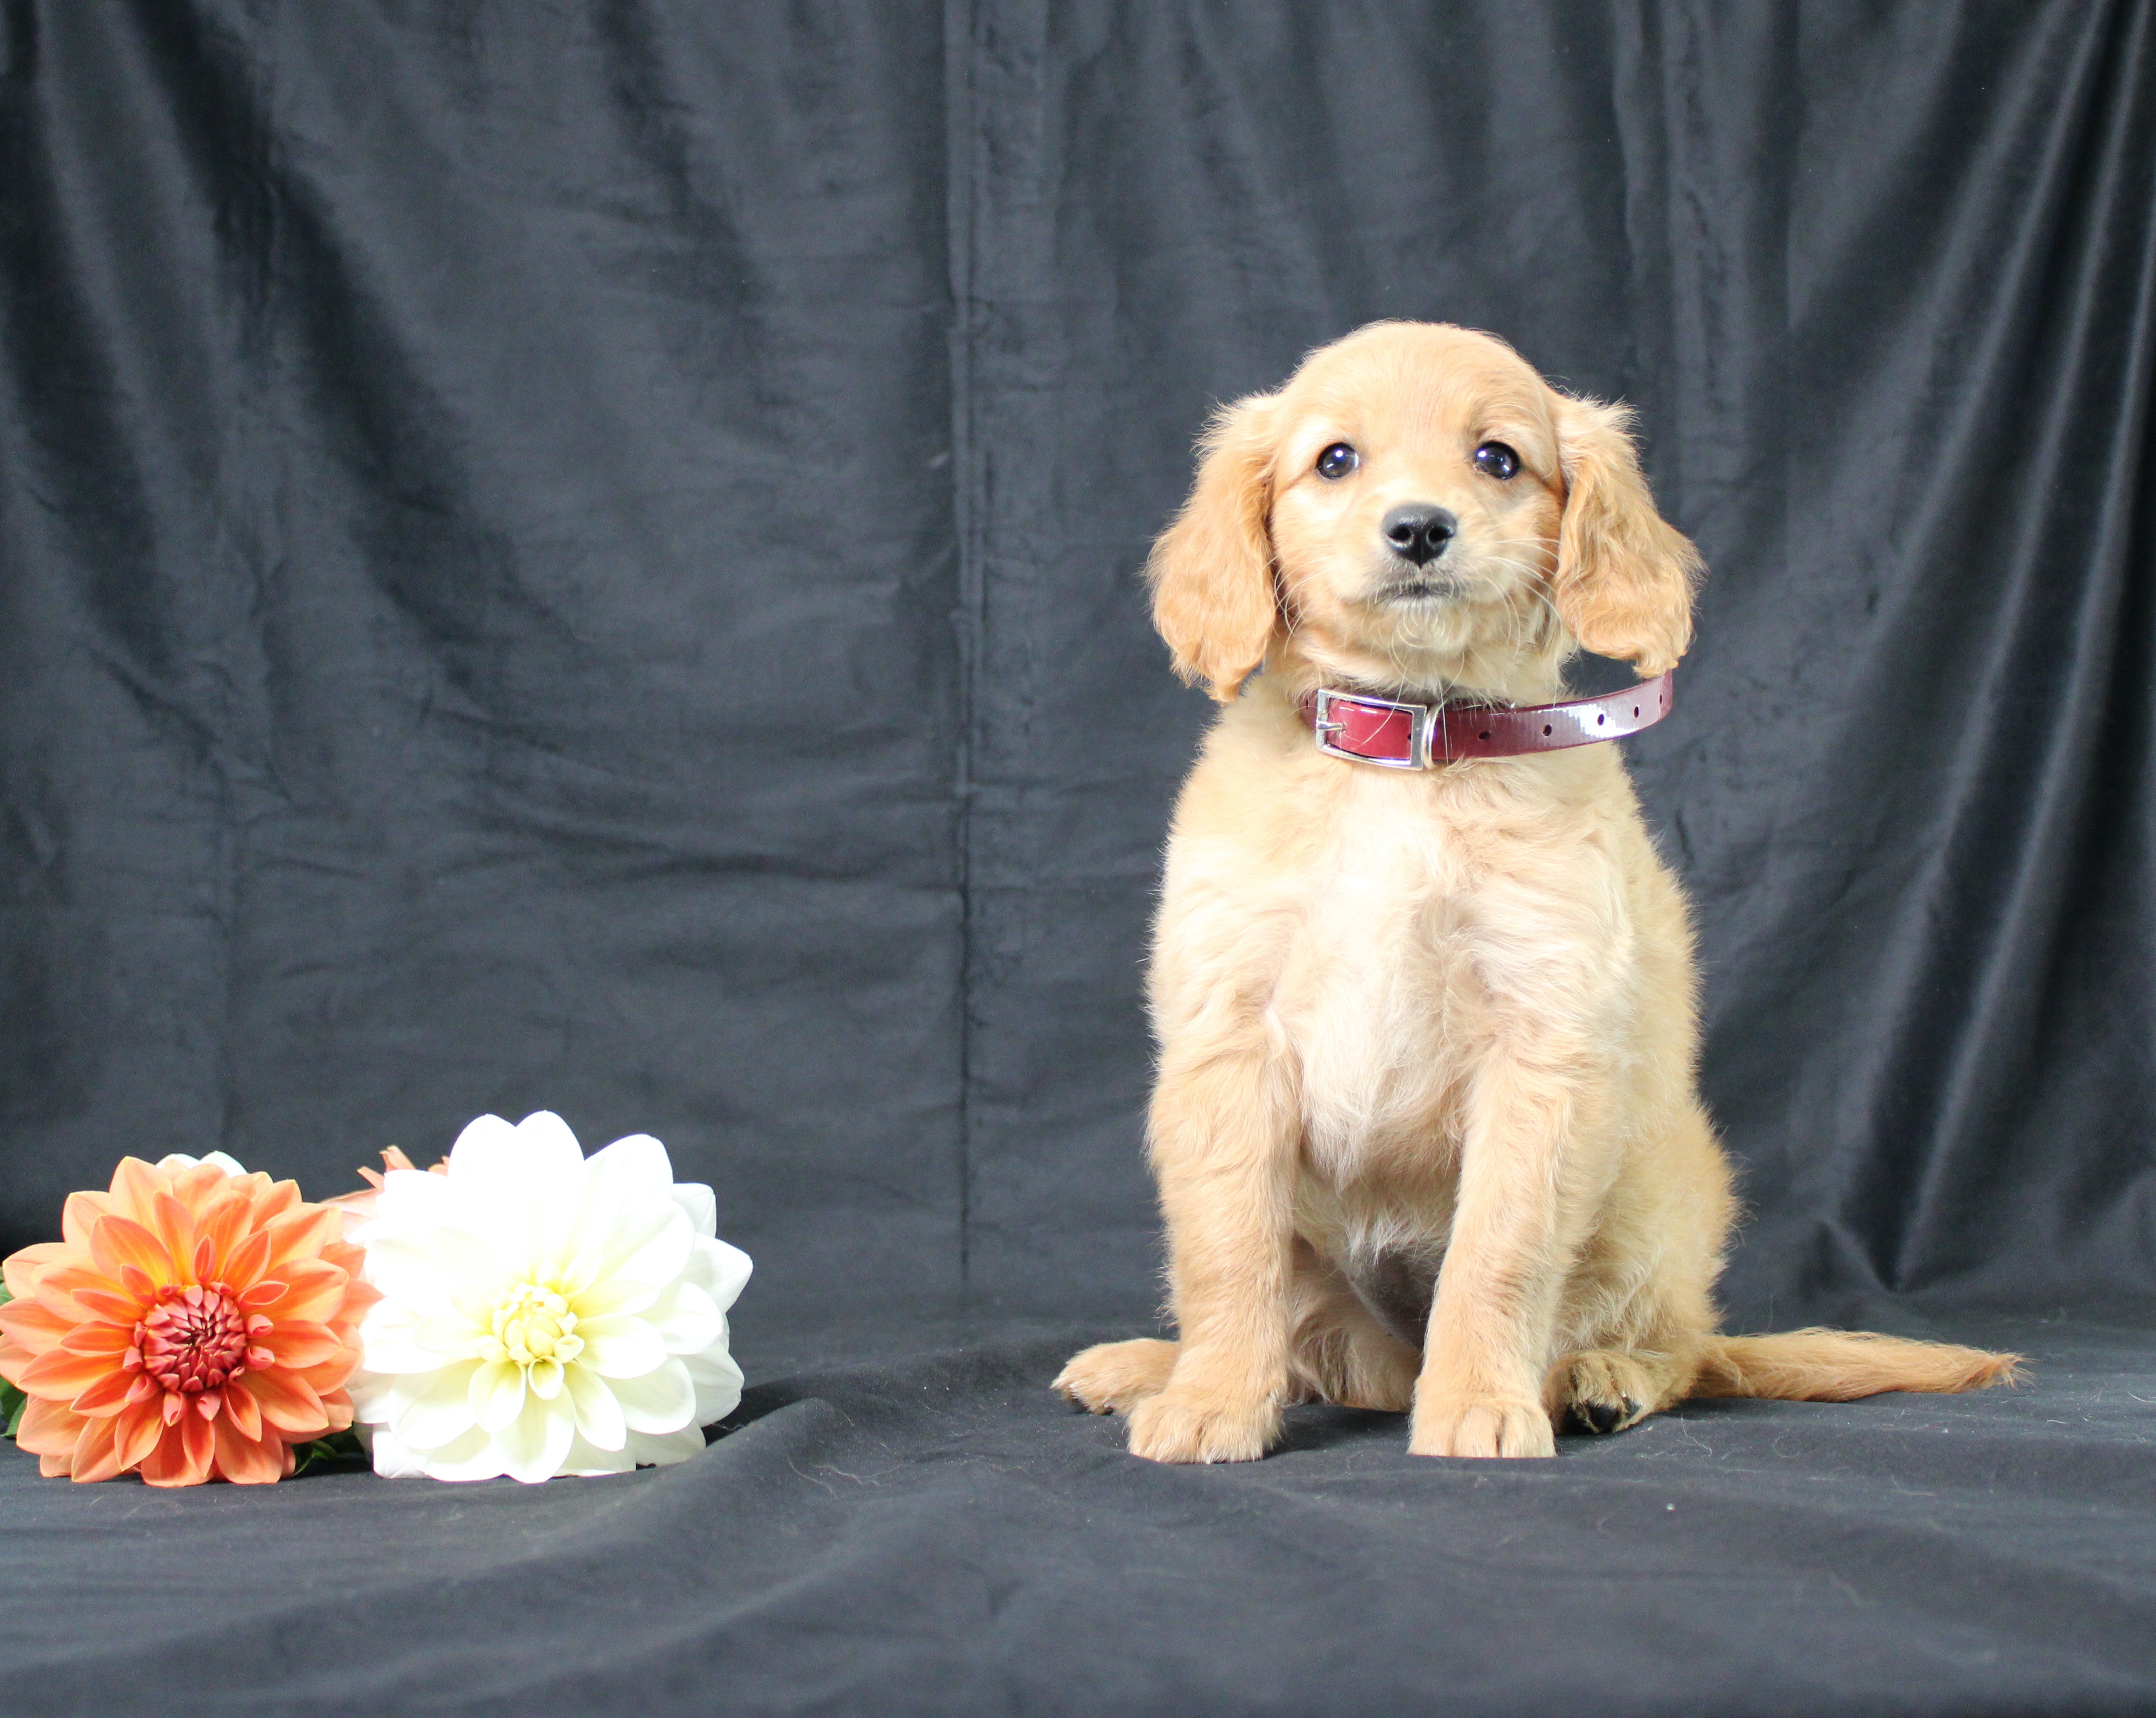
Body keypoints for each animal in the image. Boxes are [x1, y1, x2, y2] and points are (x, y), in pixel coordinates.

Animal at [1061, 325, 2018, 1457]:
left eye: (1498, 459)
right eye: (1334, 460)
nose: (1420, 528)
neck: (1412, 752)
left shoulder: (1543, 1042)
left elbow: (1499, 1251)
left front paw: (1480, 1403)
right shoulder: (1228, 1036)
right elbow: (1229, 1249)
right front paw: (1212, 1397)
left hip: (1659, 1191)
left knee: (1677, 1348)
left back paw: (1599, 1379)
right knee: (1322, 1350)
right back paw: (1154, 1366)